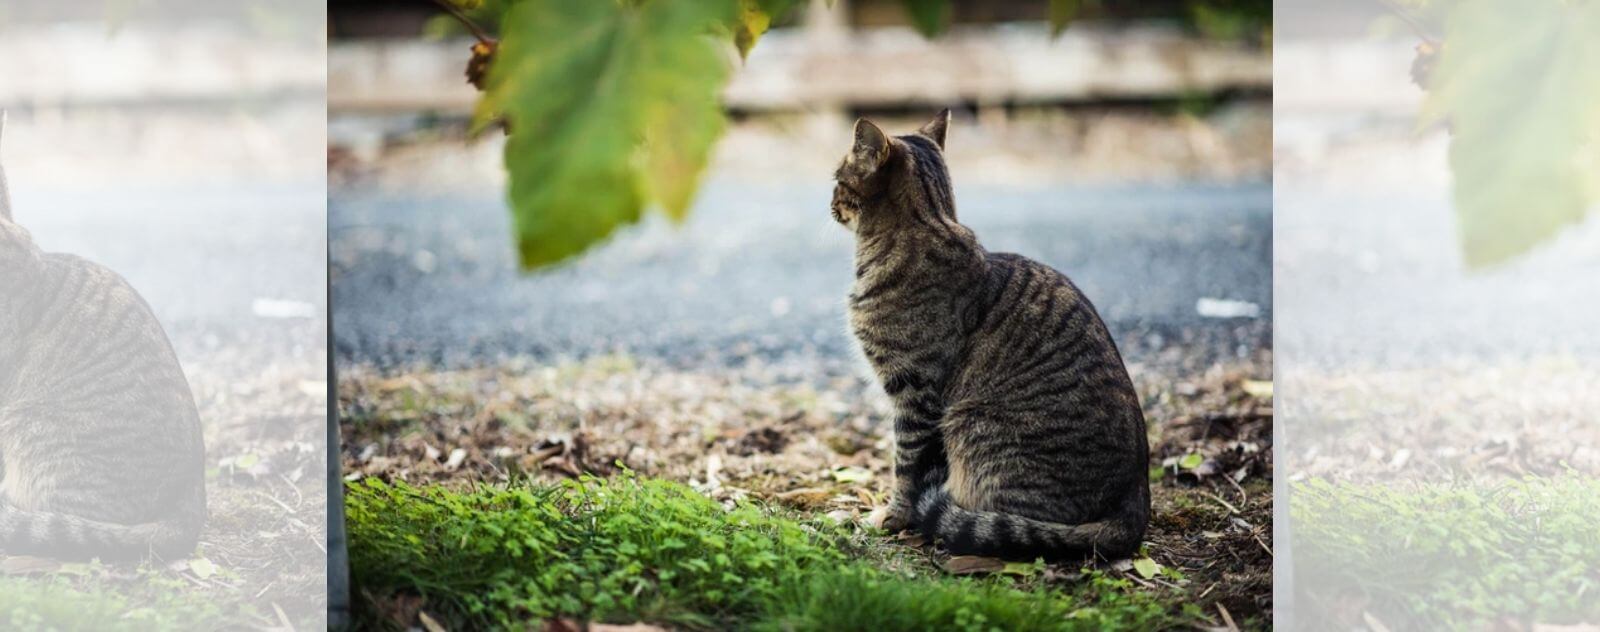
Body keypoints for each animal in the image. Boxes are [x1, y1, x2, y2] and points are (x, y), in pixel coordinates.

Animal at [838, 111, 1152, 563]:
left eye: (837, 180)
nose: (829, 203)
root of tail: (1136, 504)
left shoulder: (915, 394)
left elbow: (906, 466)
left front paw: (893, 517)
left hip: (972, 427)